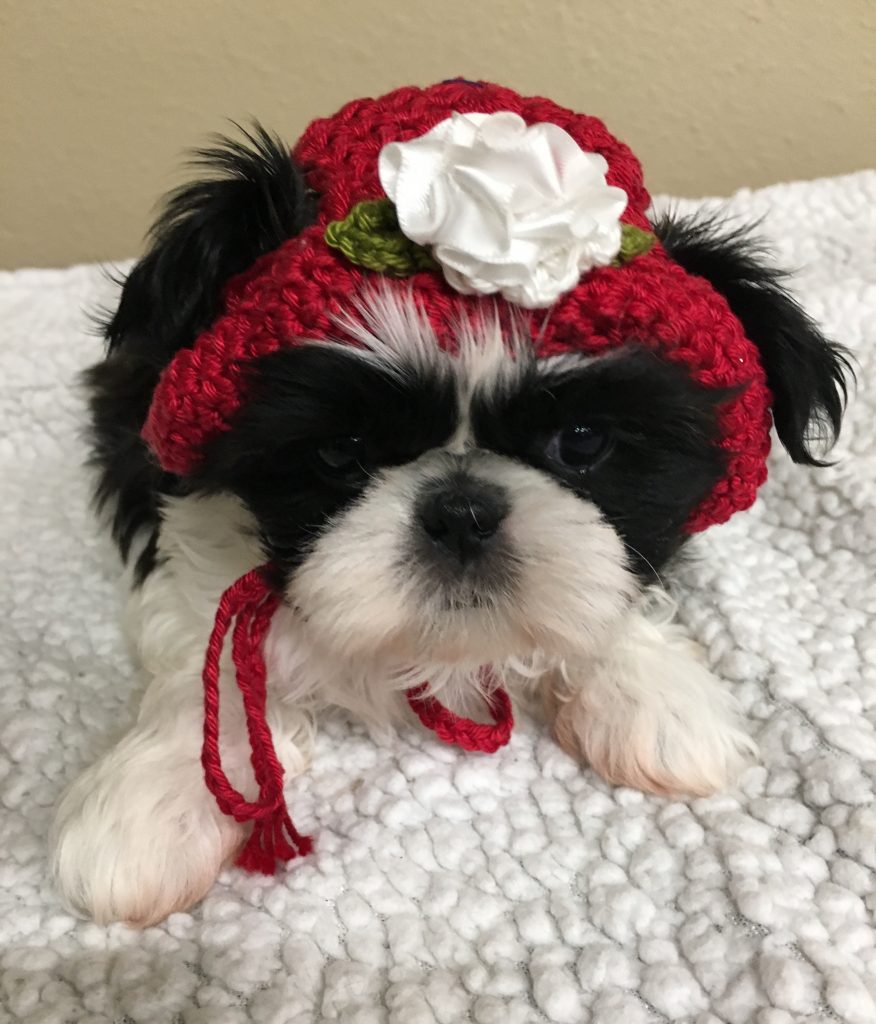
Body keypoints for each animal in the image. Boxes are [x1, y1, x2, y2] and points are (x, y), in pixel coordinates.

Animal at [49, 81, 848, 929]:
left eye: (583, 441)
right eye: (342, 451)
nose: (462, 511)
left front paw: (656, 697)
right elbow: (210, 647)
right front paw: (150, 806)